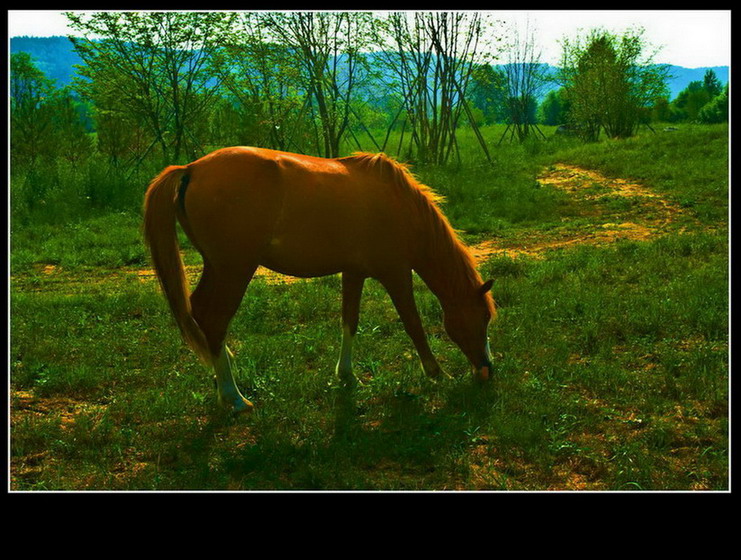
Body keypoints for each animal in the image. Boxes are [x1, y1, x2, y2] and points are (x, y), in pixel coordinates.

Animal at [142, 147, 494, 414]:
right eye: (482, 319)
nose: (486, 372)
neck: (398, 205)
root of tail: (191, 170)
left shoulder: (354, 273)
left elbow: (350, 321)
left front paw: (347, 376)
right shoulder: (395, 273)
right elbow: (414, 324)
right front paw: (437, 373)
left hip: (218, 267)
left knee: (199, 311)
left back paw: (221, 375)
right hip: (234, 270)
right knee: (215, 319)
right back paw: (234, 397)